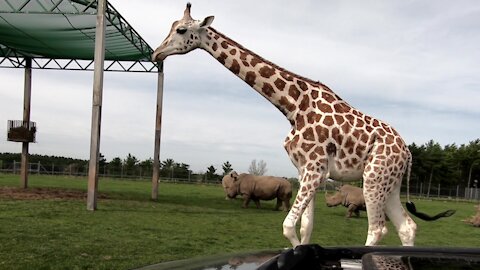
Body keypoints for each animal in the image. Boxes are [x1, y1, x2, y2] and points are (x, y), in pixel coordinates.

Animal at [153, 3, 454, 247]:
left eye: (181, 29)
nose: (157, 53)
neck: (293, 106)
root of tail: (407, 152)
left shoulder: (314, 168)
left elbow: (288, 226)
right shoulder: (306, 170)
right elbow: (307, 226)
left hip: (374, 178)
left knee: (378, 230)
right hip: (388, 182)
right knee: (407, 227)